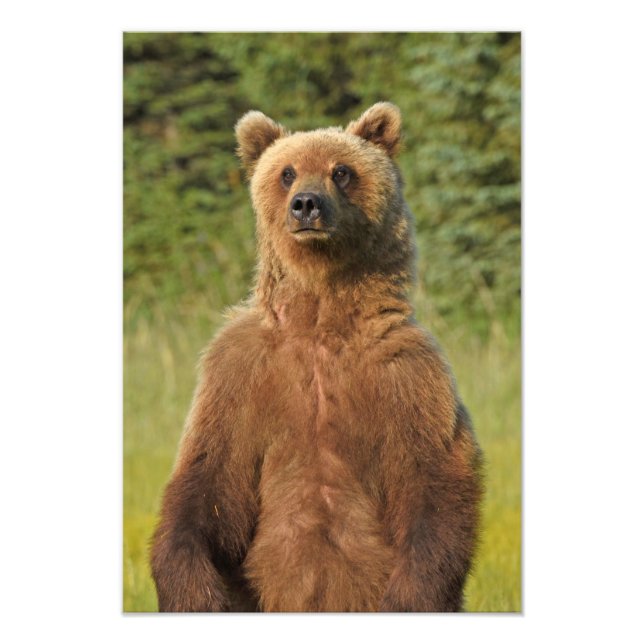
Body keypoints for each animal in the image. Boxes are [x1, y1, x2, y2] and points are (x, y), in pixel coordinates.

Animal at [150, 102, 483, 612]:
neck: (321, 318)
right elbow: (209, 479)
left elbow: (434, 486)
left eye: (341, 171)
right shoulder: (240, 373)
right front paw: (195, 592)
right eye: (287, 172)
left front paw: (408, 598)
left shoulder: (408, 376)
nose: (306, 204)